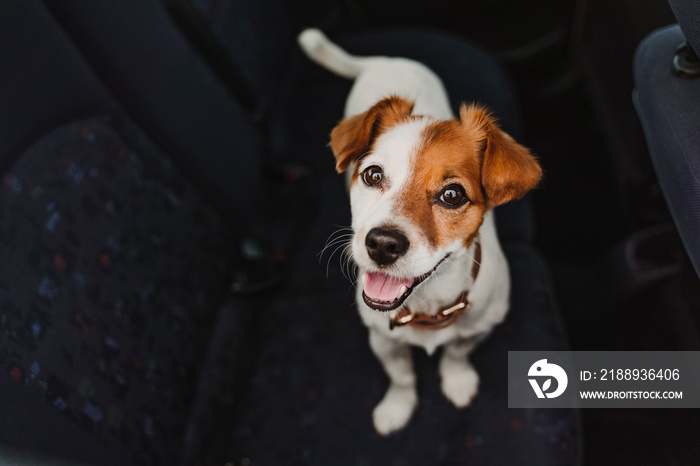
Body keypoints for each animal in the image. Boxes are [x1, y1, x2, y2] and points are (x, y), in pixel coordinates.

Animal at [298, 29, 544, 436]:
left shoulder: (478, 329)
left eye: (452, 195)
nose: (382, 244)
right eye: (373, 175)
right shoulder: (383, 341)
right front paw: (398, 407)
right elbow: (402, 378)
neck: (428, 306)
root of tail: (386, 59)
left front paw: (457, 380)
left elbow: (457, 353)